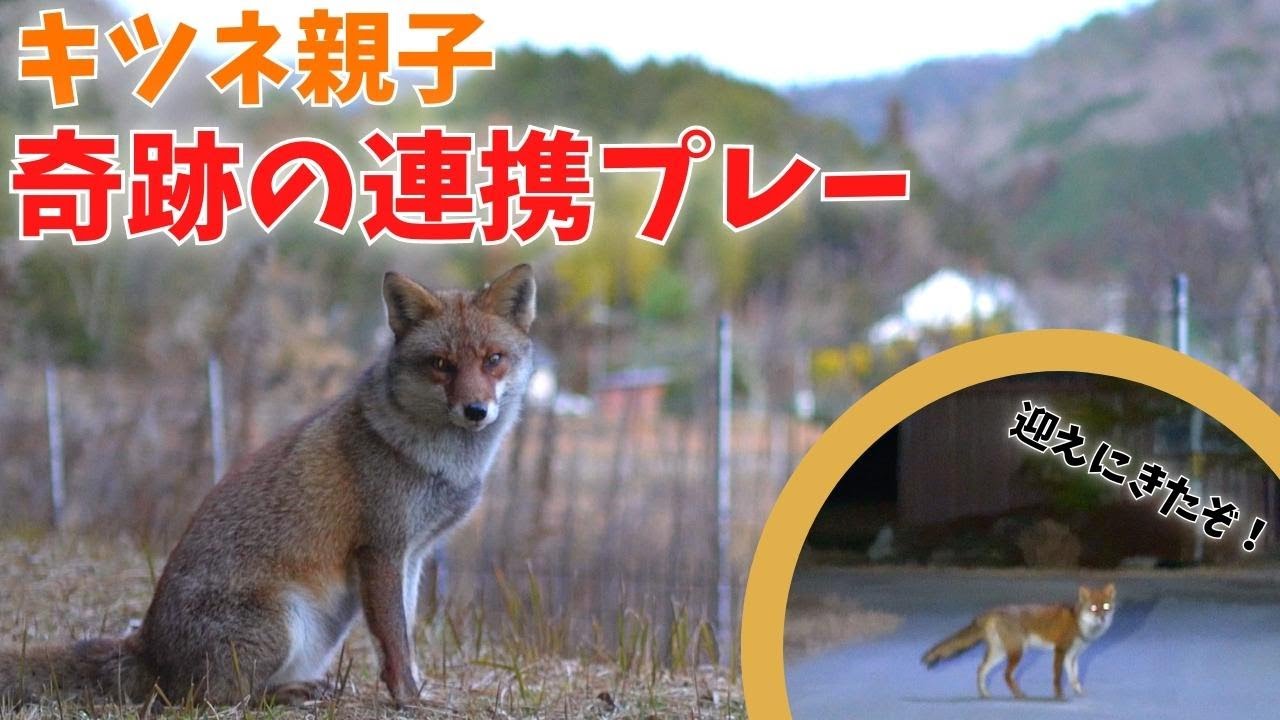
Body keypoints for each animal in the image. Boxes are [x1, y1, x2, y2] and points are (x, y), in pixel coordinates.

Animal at [0, 265, 537, 708]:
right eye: (442, 364)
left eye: (493, 360)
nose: (475, 410)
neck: (439, 463)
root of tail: (146, 644)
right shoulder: (382, 549)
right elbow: (395, 641)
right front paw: (410, 699)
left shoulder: (414, 554)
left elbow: (403, 635)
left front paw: (419, 688)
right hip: (282, 624)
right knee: (211, 699)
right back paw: (283, 693)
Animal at [921, 583, 1115, 700]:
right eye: (1093, 608)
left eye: (1106, 607)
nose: (1102, 618)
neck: (1078, 622)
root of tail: (993, 610)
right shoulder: (1060, 651)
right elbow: (1057, 677)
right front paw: (1059, 696)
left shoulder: (1072, 656)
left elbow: (1075, 679)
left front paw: (1080, 694)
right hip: (1017, 652)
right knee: (1006, 675)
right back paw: (1019, 696)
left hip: (1000, 654)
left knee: (981, 669)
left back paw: (984, 695)